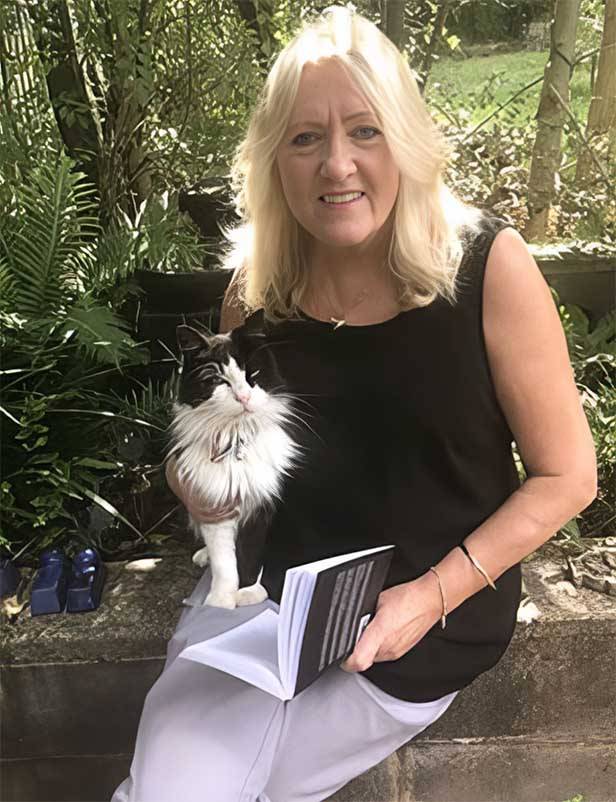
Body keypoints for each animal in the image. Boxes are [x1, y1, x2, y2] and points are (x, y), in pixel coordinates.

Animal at [168, 323, 300, 609]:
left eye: (252, 374)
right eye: (218, 381)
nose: (243, 397)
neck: (235, 438)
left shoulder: (260, 505)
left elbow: (249, 555)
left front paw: (247, 593)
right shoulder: (216, 506)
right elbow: (224, 562)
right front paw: (220, 602)